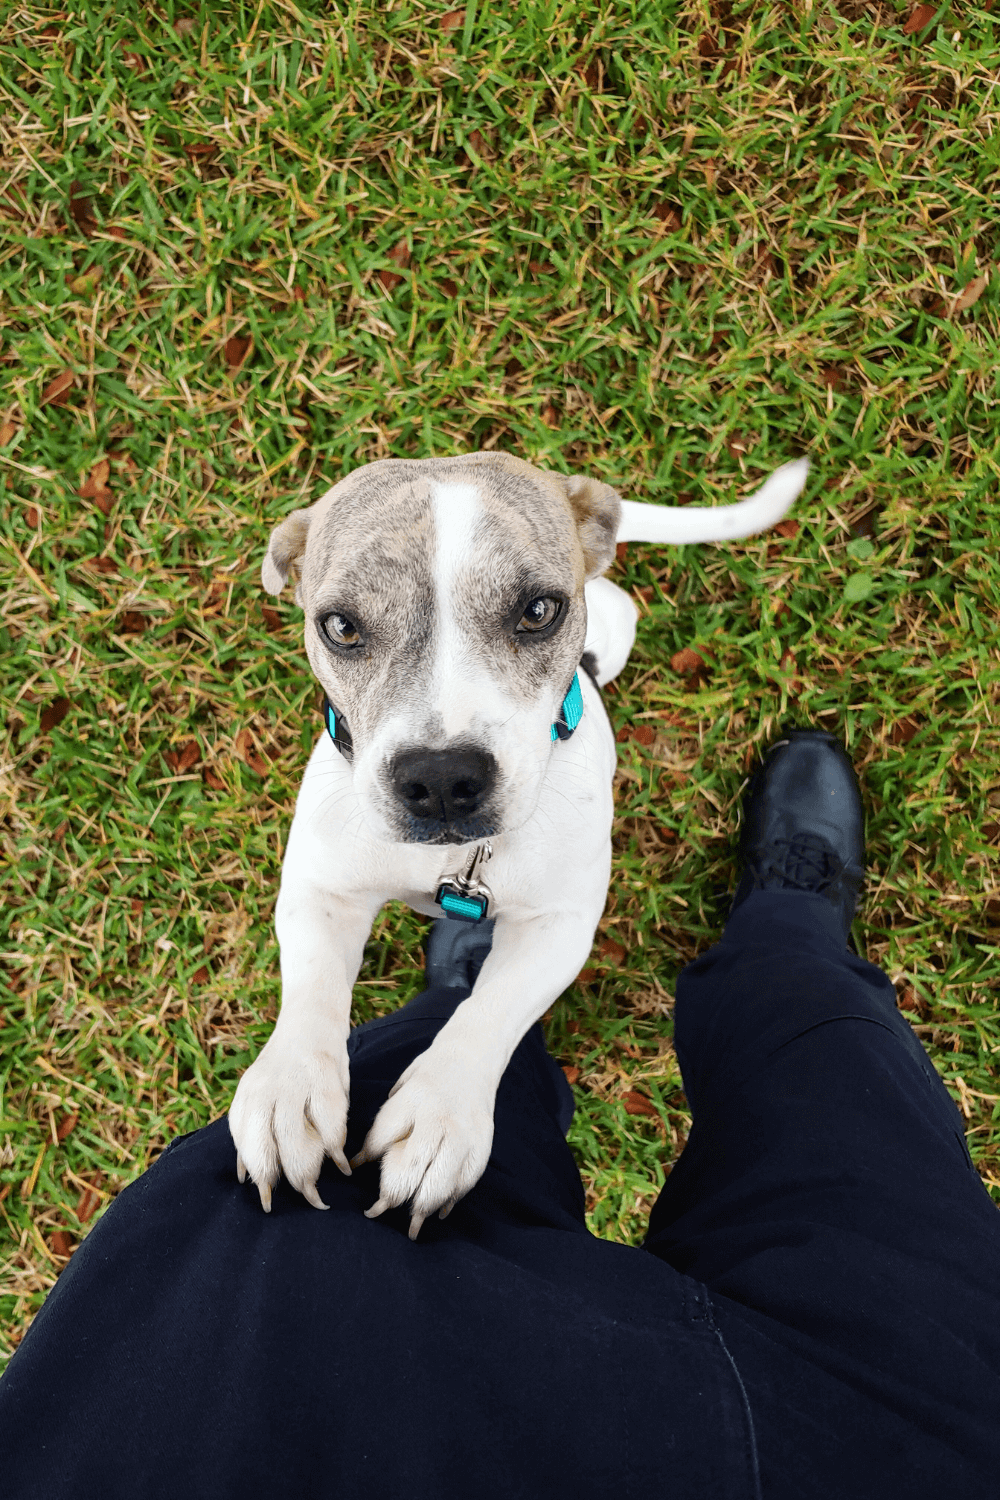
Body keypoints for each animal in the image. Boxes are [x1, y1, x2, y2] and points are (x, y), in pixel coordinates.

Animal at [230, 450, 809, 1236]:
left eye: (538, 611)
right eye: (341, 625)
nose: (441, 778)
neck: (451, 860)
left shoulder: (557, 929)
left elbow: (488, 1013)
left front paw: (440, 1117)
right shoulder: (322, 890)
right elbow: (312, 988)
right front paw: (289, 1091)